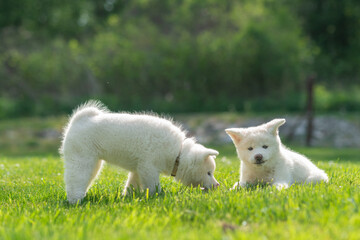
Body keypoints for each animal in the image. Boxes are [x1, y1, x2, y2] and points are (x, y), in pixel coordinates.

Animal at [59, 100, 219, 203]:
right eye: (208, 173)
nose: (217, 185)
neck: (177, 153)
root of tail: (78, 120)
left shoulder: (139, 169)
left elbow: (132, 184)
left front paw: (128, 197)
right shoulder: (148, 168)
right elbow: (153, 186)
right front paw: (157, 196)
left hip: (95, 163)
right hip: (82, 159)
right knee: (75, 180)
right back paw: (75, 201)